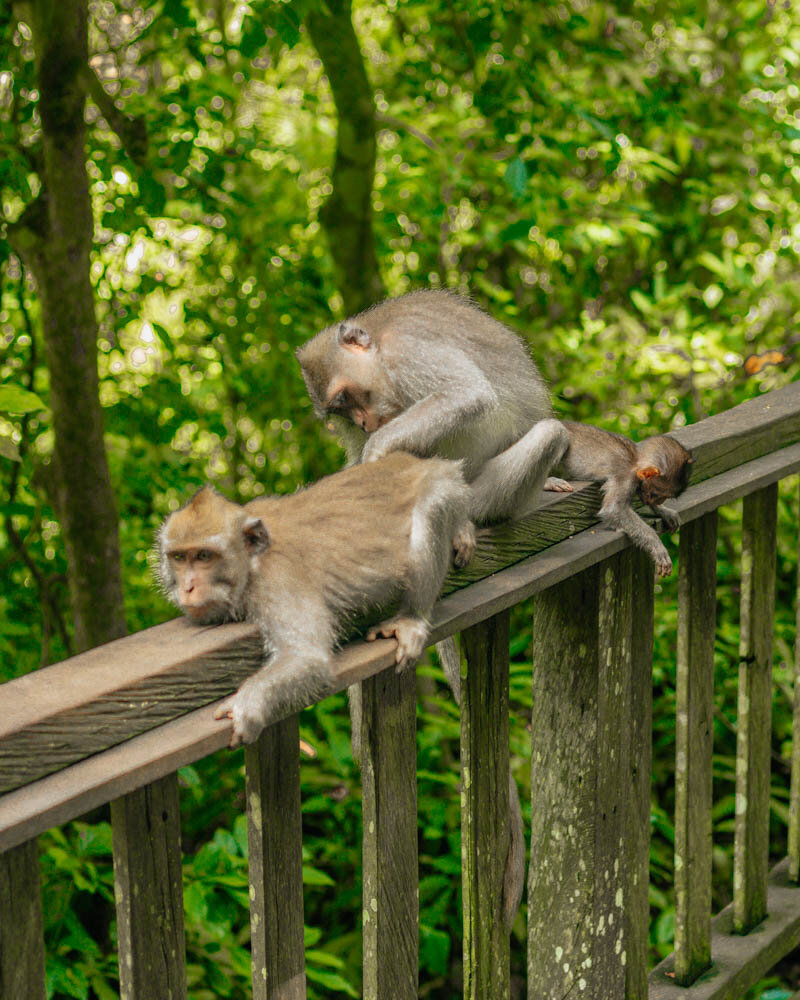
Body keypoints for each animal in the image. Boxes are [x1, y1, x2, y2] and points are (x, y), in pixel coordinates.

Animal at [158, 454, 476, 744]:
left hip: (447, 485)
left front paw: (247, 704)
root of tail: (425, 461)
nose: (187, 586)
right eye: (179, 558)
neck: (253, 562)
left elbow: (307, 658)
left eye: (203, 556)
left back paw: (412, 616)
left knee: (432, 507)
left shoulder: (278, 581)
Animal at [556, 424, 692, 580]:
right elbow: (614, 509)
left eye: (662, 497)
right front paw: (657, 545)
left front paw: (665, 512)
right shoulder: (626, 477)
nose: (660, 501)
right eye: (657, 495)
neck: (636, 460)